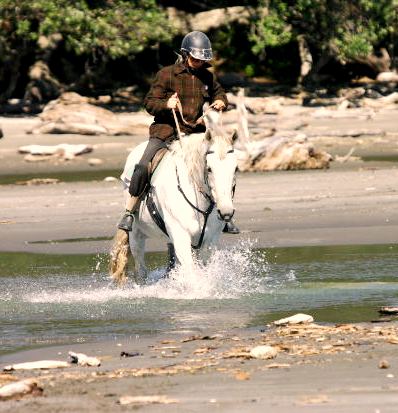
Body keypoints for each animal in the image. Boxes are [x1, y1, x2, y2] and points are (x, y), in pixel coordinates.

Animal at [109, 111, 236, 284]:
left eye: (235, 168)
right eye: (209, 169)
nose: (226, 212)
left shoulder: (209, 242)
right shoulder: (181, 236)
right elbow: (191, 275)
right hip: (136, 235)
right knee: (140, 270)